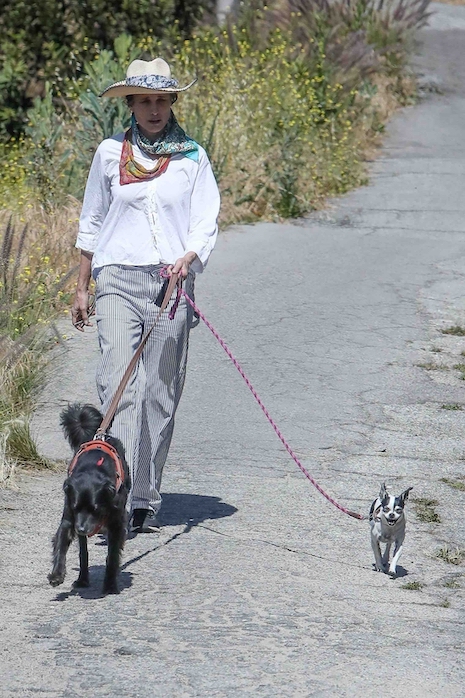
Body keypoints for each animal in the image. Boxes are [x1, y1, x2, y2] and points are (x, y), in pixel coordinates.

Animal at [48, 402, 130, 592]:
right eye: (76, 507)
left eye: (96, 509)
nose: (81, 529)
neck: (93, 470)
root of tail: (100, 437)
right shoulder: (69, 519)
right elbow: (61, 547)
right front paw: (57, 575)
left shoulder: (117, 524)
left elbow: (112, 556)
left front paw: (110, 585)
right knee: (83, 553)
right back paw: (82, 579)